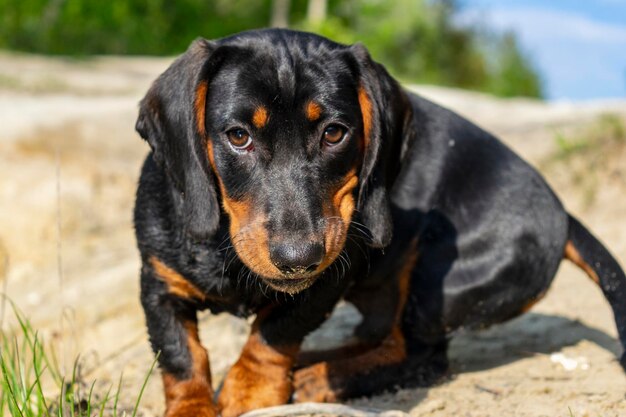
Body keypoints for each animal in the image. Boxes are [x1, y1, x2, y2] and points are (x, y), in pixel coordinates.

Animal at [133, 29, 624, 416]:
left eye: (334, 133)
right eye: (238, 136)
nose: (299, 258)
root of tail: (563, 214)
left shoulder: (324, 283)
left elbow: (273, 333)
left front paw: (250, 391)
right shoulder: (157, 284)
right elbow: (181, 358)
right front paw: (193, 407)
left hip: (440, 278)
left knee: (419, 357)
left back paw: (321, 378)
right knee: (380, 336)